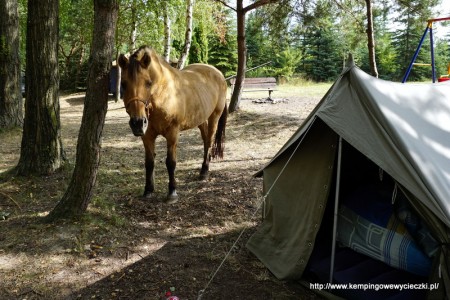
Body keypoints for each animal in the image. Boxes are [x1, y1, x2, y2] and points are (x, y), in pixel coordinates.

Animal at [118, 45, 227, 203]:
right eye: (123, 84)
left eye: (148, 83)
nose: (137, 123)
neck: (162, 94)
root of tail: (218, 73)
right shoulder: (147, 136)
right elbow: (149, 163)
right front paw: (148, 190)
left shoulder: (172, 133)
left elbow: (171, 162)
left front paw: (172, 192)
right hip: (201, 120)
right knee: (206, 140)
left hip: (214, 116)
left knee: (210, 140)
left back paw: (204, 171)